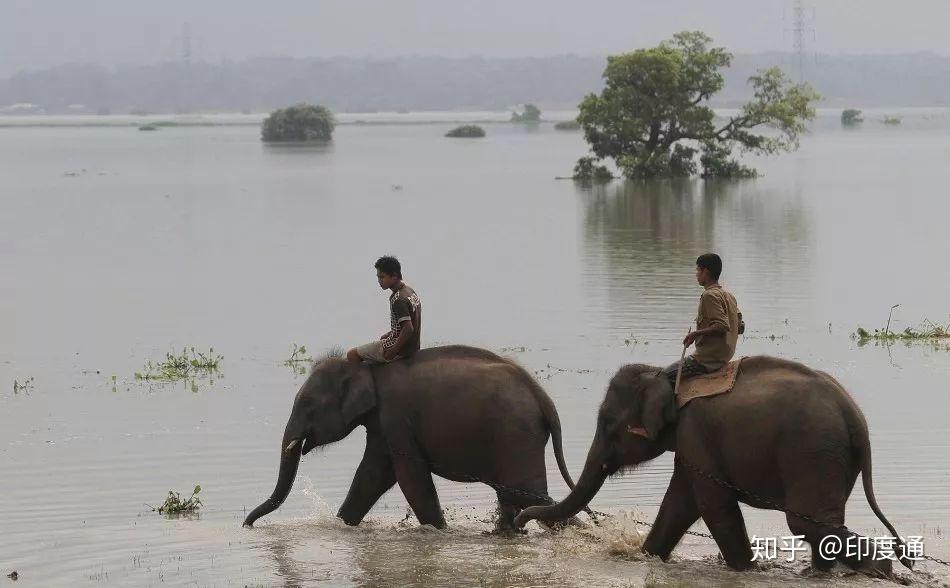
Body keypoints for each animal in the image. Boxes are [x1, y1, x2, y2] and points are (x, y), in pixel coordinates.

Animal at [242, 342, 576, 532]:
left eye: (308, 404)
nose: (247, 524)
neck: (367, 368)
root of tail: (542, 397)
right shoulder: (382, 425)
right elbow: (372, 476)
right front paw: (342, 524)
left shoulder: (396, 417)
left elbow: (409, 477)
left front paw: (439, 532)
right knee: (513, 495)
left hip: (517, 435)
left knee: (529, 494)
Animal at [516, 356, 920, 576]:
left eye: (609, 425)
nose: (521, 521)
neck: (669, 375)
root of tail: (856, 419)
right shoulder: (691, 447)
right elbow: (679, 504)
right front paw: (646, 556)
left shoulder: (695, 433)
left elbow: (712, 505)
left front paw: (748, 571)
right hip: (833, 458)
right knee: (821, 526)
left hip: (813, 452)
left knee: (806, 523)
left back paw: (879, 569)